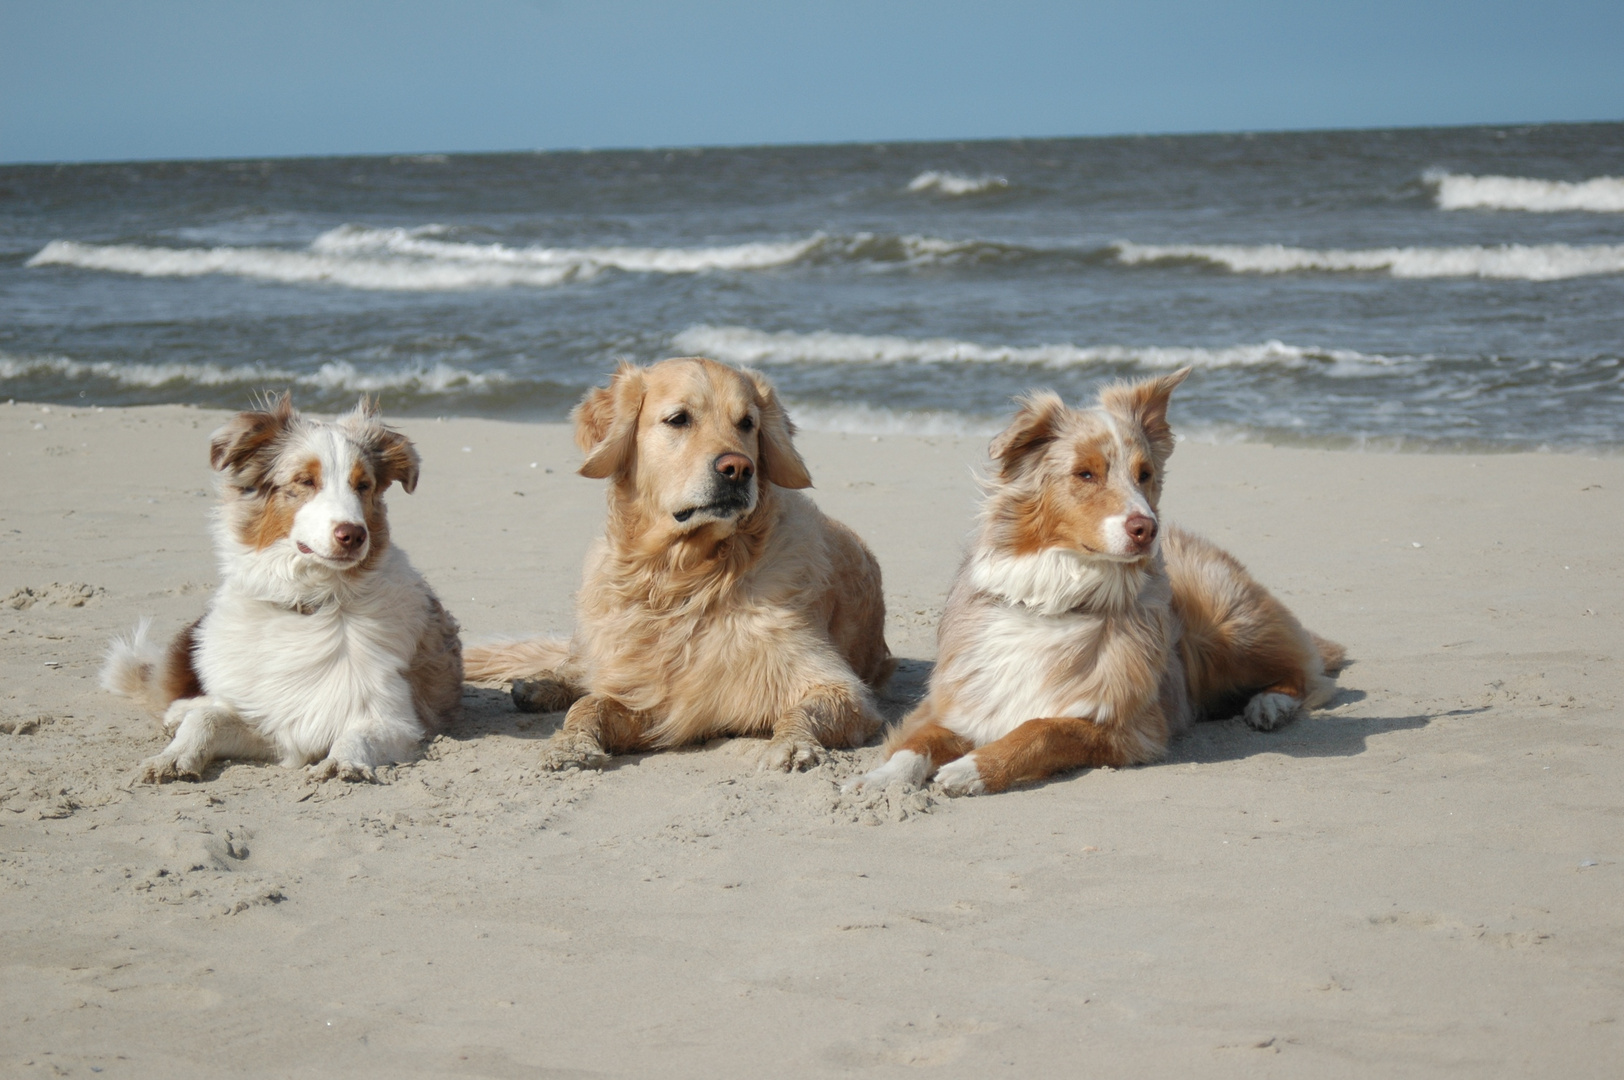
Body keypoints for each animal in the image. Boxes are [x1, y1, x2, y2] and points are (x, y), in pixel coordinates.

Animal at [100, 391, 461, 779]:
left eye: (363, 485)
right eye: (305, 481)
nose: (353, 535)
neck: (308, 601)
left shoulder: (395, 719)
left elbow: (356, 735)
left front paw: (341, 762)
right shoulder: (268, 720)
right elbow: (206, 718)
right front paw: (171, 756)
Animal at [464, 357, 896, 769]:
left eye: (747, 423)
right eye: (679, 419)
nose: (738, 468)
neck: (685, 578)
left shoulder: (835, 685)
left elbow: (802, 710)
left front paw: (792, 746)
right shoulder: (651, 695)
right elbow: (590, 704)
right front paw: (571, 744)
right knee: (581, 667)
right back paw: (539, 685)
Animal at [850, 367, 1344, 795]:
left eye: (1145, 475)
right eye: (1085, 474)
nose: (1147, 528)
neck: (1056, 601)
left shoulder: (1132, 727)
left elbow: (1043, 729)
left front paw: (974, 767)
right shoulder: (960, 701)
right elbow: (919, 742)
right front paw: (882, 778)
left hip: (1229, 627)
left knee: (1307, 671)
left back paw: (1269, 704)